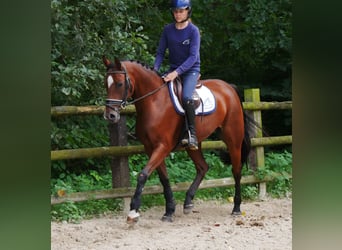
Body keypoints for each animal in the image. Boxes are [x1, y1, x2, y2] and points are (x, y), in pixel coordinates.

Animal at [100, 56, 252, 223]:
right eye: (105, 83)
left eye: (120, 83)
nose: (110, 115)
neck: (155, 101)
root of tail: (229, 87)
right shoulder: (150, 147)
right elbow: (164, 178)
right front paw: (169, 210)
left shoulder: (162, 146)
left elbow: (143, 175)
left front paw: (133, 211)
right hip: (194, 145)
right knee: (203, 167)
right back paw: (188, 202)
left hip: (233, 140)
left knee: (236, 170)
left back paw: (236, 208)